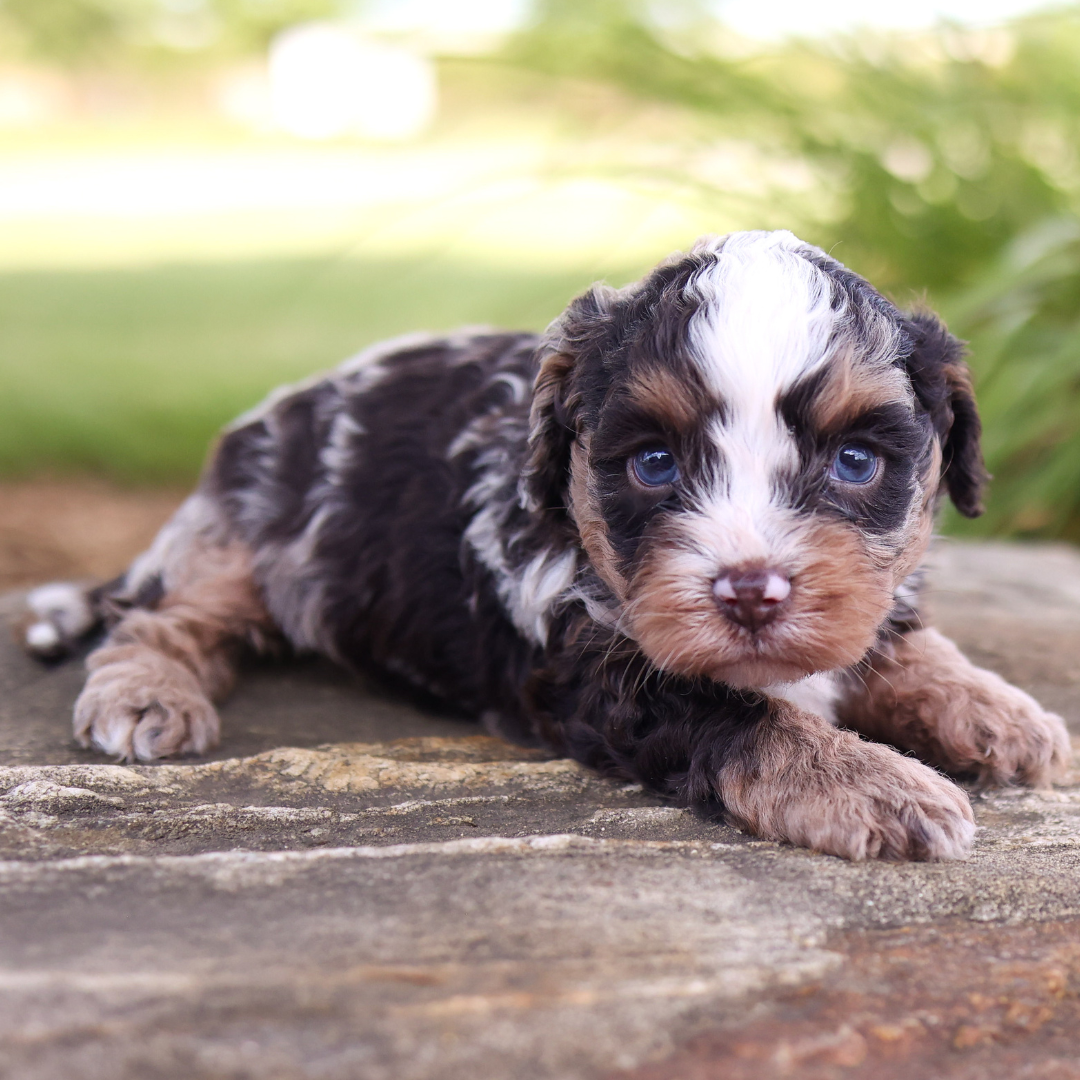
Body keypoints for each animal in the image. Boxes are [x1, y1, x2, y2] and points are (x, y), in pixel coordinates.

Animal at [25, 230, 1071, 859]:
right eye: (652, 463)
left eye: (856, 461)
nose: (750, 591)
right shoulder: (591, 672)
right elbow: (742, 715)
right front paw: (878, 786)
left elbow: (900, 639)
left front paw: (1002, 714)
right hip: (238, 535)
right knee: (160, 616)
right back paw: (145, 695)